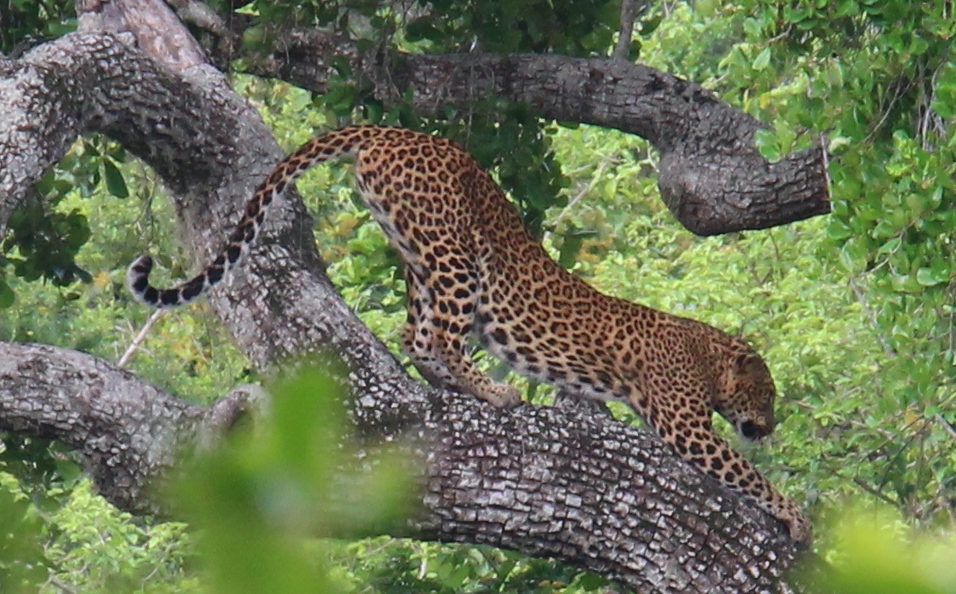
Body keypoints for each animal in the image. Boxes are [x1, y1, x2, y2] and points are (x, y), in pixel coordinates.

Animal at [128, 125, 813, 545]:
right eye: (768, 396)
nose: (771, 426)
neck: (707, 353)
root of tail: (391, 131)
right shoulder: (686, 425)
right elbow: (745, 473)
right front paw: (796, 516)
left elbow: (583, 401)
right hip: (456, 253)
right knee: (437, 338)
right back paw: (491, 392)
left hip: (417, 253)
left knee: (414, 332)